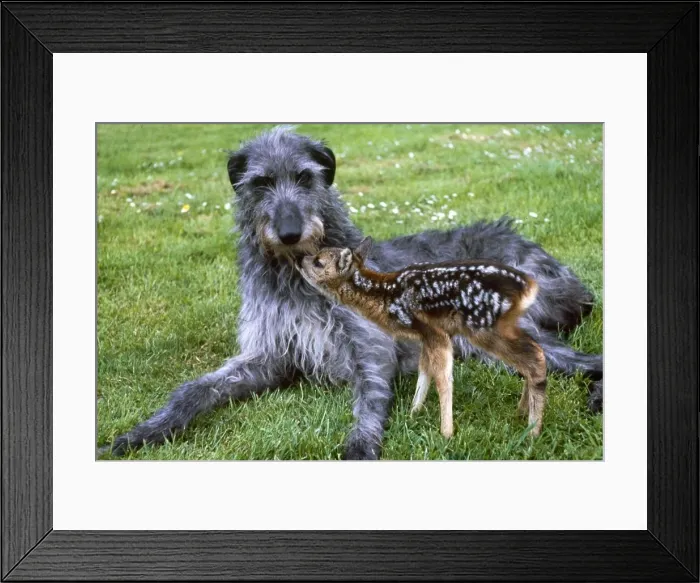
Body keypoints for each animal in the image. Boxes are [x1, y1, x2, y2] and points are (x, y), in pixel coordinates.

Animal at [298, 237, 547, 440]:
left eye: (318, 262)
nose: (301, 259)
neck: (387, 296)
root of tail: (530, 287)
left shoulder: (434, 331)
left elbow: (443, 378)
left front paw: (446, 433)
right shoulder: (427, 336)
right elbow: (425, 370)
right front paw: (413, 412)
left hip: (483, 327)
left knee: (535, 358)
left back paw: (532, 432)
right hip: (503, 327)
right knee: (533, 353)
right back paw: (521, 413)